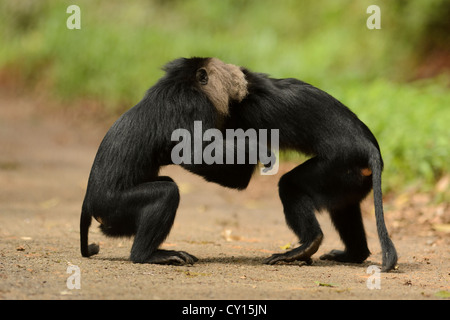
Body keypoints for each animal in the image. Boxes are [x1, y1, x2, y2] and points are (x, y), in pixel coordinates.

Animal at [80, 57, 250, 264]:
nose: (240, 73)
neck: (183, 83)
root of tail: (90, 203)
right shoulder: (196, 106)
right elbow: (196, 156)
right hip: (114, 207)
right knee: (167, 192)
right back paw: (147, 255)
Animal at [227, 69, 400, 272]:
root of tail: (370, 149)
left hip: (335, 168)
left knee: (290, 185)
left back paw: (306, 246)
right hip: (351, 179)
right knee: (343, 208)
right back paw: (354, 254)